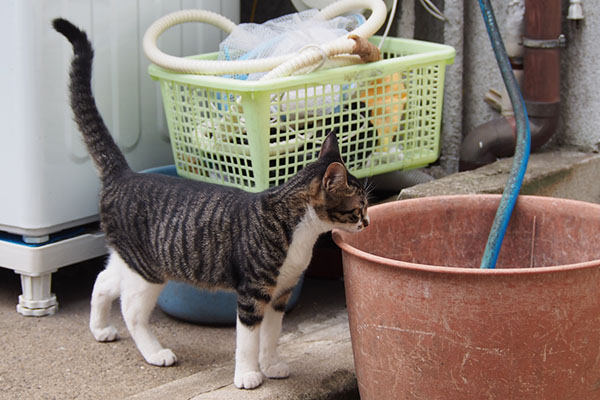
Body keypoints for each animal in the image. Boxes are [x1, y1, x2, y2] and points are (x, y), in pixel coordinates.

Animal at [52, 17, 370, 390]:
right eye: (359, 206)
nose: (367, 222)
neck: (298, 230)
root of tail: (125, 174)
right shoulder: (253, 292)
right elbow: (248, 339)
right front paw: (247, 375)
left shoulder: (280, 293)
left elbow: (271, 334)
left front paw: (271, 364)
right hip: (148, 271)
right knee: (131, 311)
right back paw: (155, 352)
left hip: (132, 259)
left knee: (102, 281)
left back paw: (100, 328)